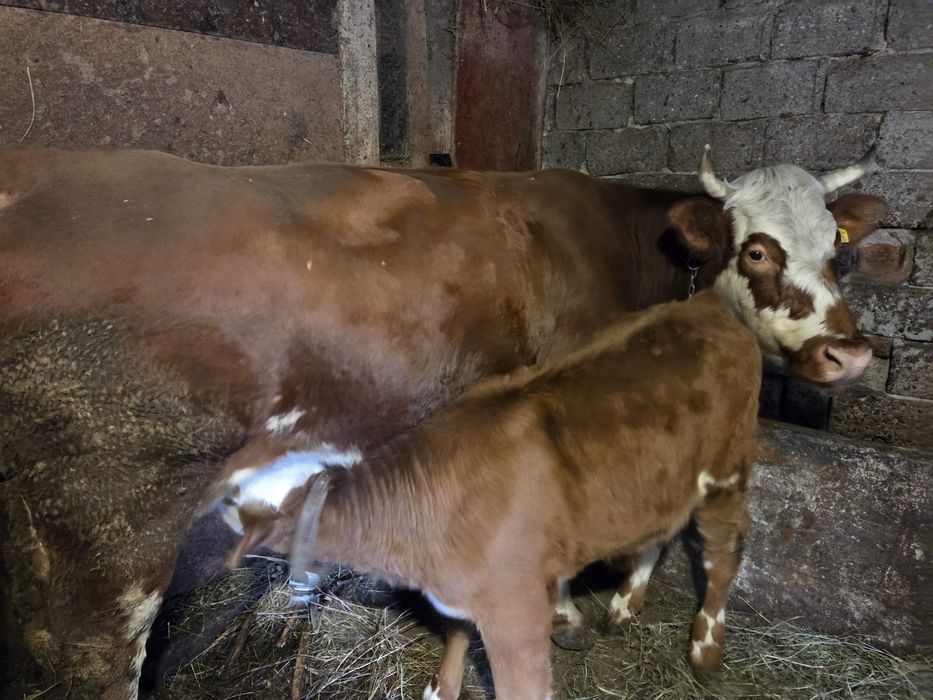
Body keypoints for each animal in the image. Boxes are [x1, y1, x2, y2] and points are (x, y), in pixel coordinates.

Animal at [0, 143, 883, 698]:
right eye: (757, 250)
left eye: (837, 248)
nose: (846, 354)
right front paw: (574, 614)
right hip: (118, 501)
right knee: (96, 657)